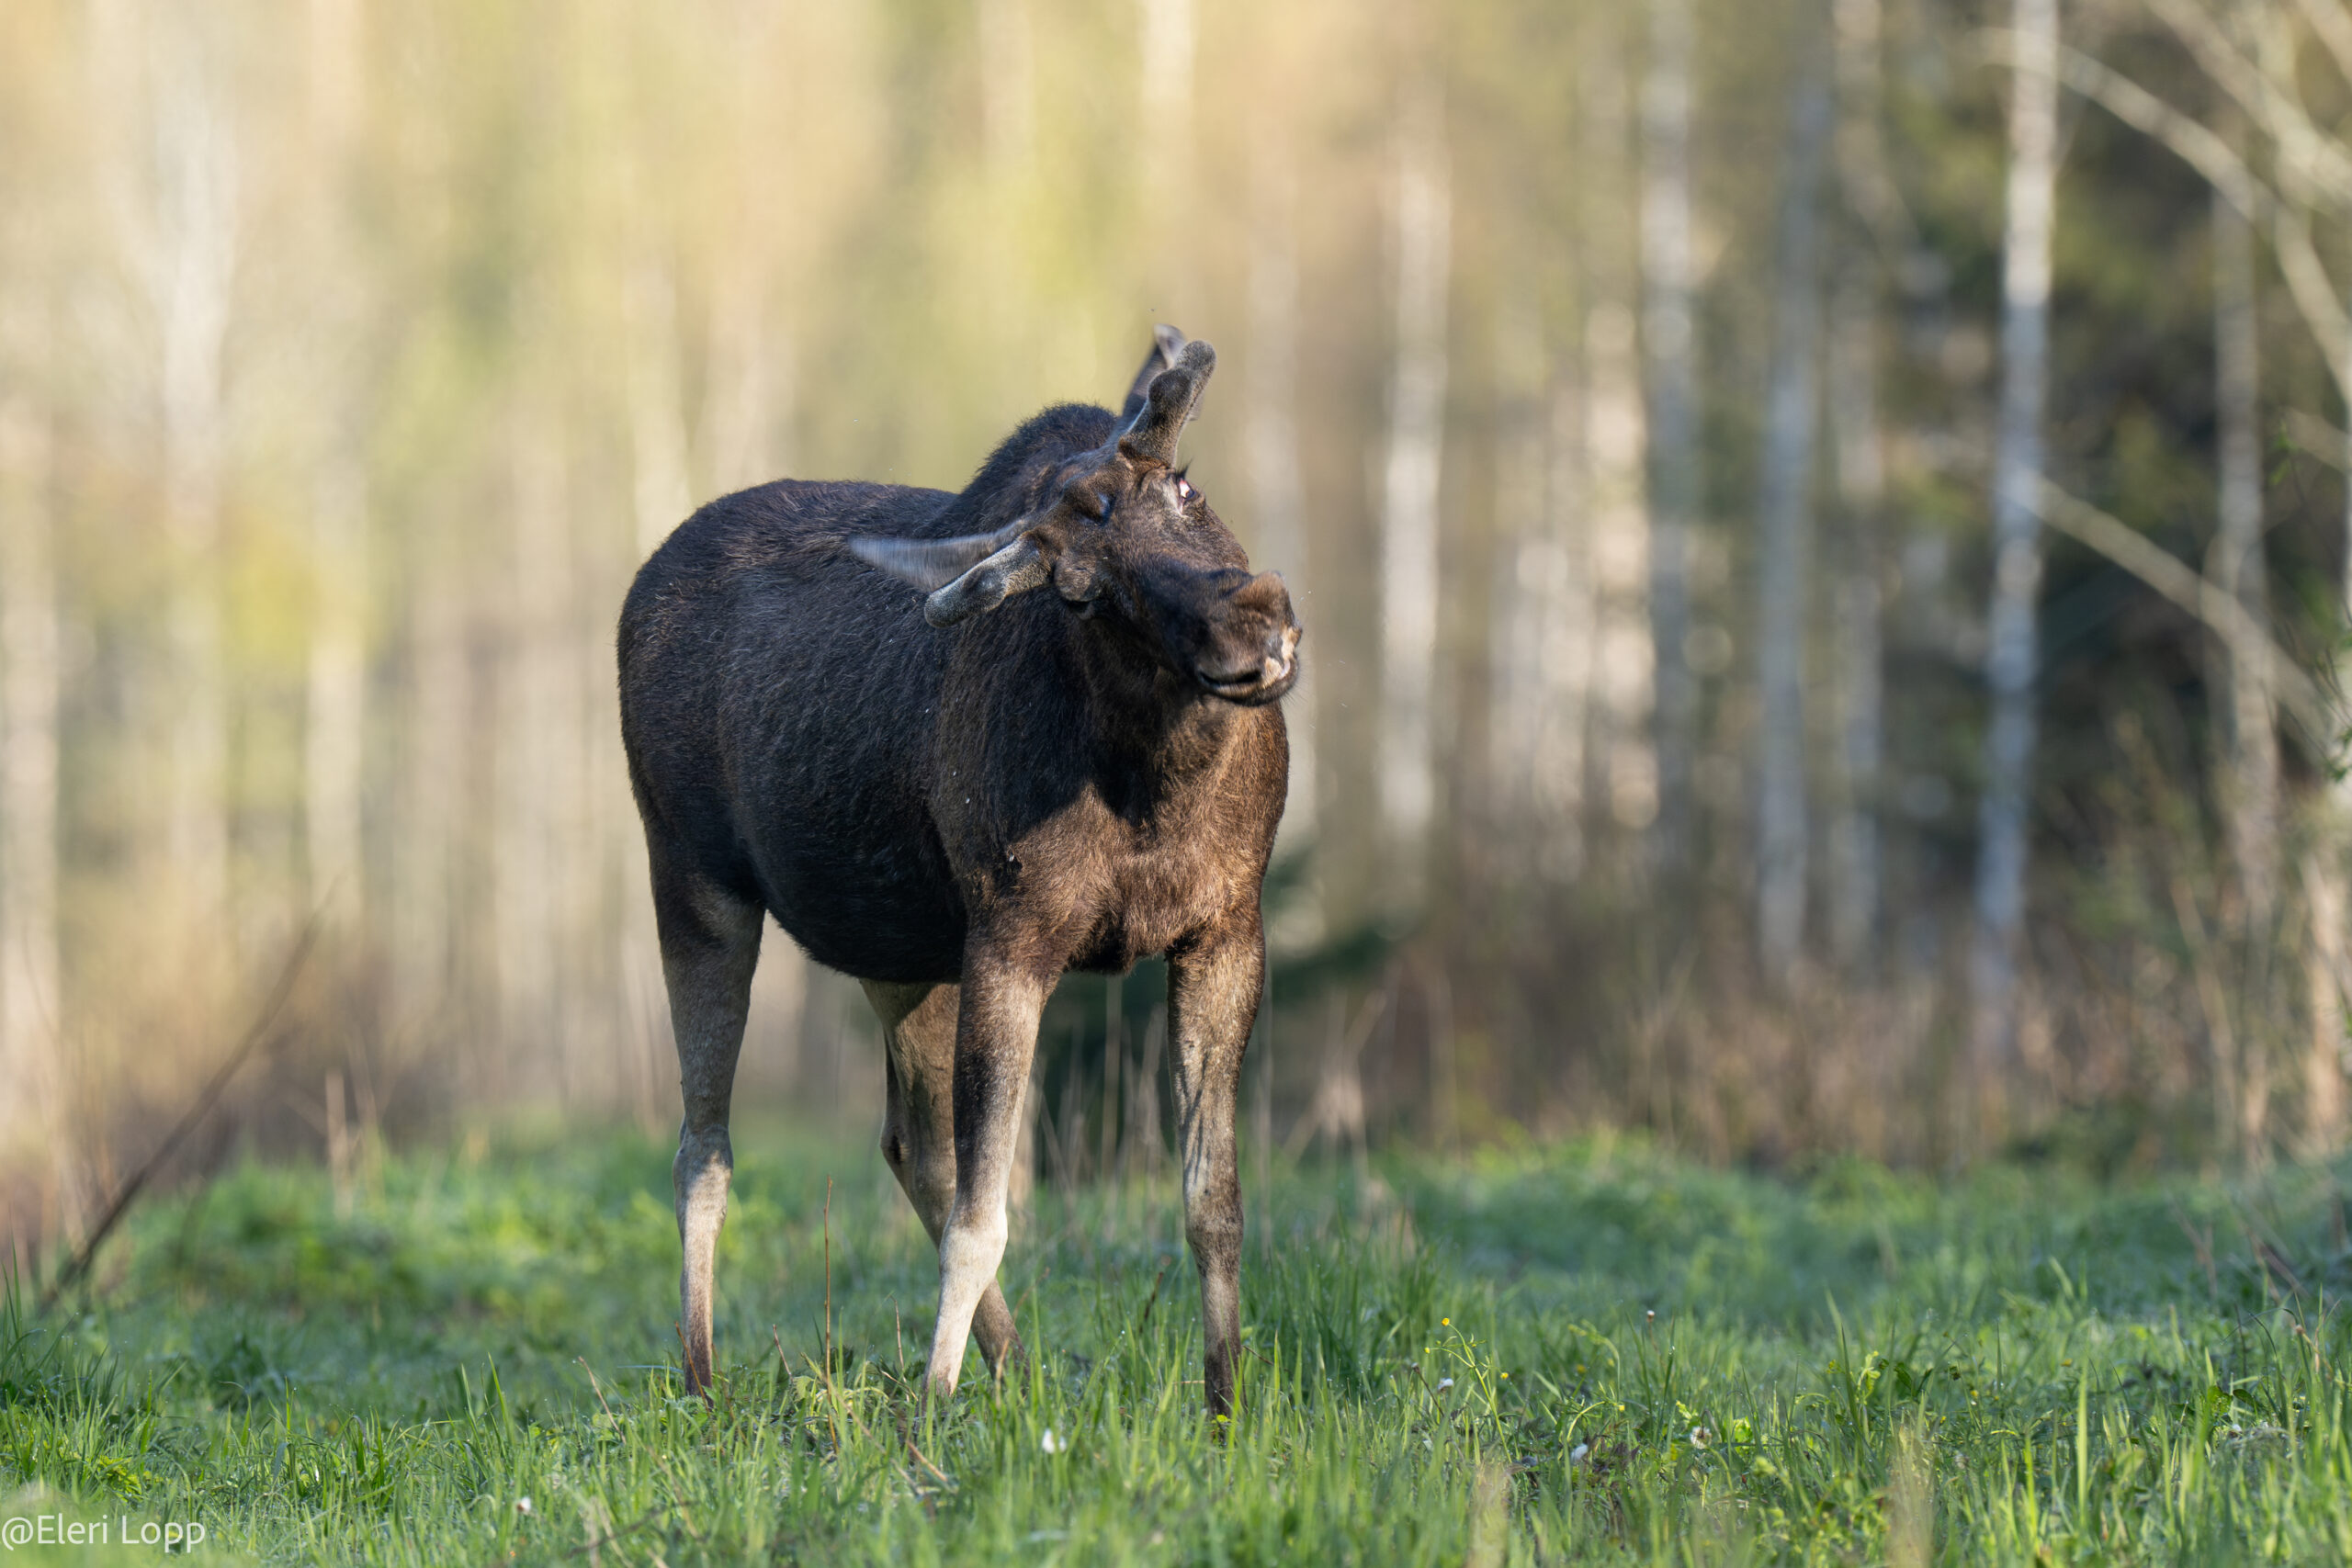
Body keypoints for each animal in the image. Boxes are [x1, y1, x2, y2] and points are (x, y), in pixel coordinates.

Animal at [617, 326, 1299, 1418]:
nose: (1250, 625)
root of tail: (637, 587)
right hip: (694, 880)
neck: (1156, 782)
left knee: (910, 1145)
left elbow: (1213, 1202)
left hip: (902, 951)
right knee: (703, 1146)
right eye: (1080, 590)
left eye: (1184, 486)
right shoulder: (1012, 939)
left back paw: (1014, 1375)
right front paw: (933, 1412)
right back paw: (704, 1380)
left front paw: (1226, 1404)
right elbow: (987, 1215)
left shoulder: (1226, 927)